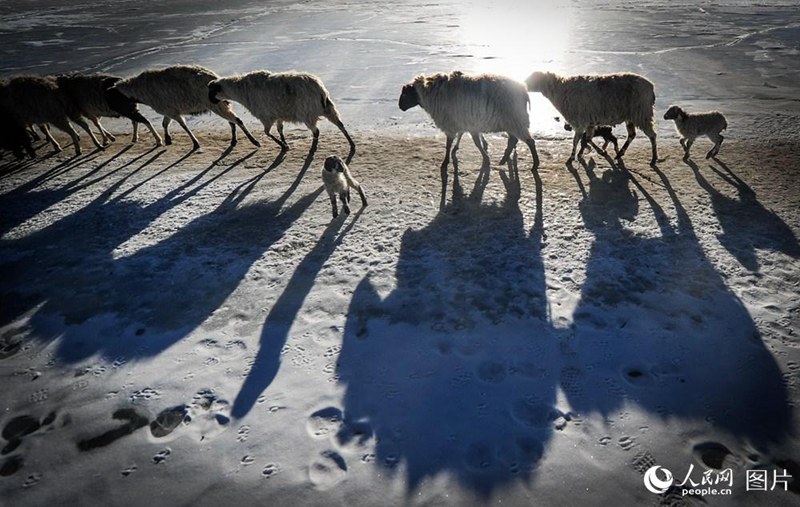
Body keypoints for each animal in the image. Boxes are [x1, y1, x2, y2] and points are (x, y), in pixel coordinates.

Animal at [108, 64, 260, 151]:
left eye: (115, 100)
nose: (117, 114)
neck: (140, 89)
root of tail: (214, 78)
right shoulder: (168, 110)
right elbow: (165, 123)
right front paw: (168, 139)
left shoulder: (171, 110)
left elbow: (183, 125)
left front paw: (195, 144)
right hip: (219, 104)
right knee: (232, 120)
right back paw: (234, 141)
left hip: (216, 105)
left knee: (236, 120)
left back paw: (254, 141)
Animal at [208, 70, 354, 163]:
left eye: (212, 91)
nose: (210, 102)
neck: (241, 90)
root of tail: (320, 90)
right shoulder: (278, 115)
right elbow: (279, 130)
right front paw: (285, 143)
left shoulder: (266, 117)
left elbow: (267, 132)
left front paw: (284, 146)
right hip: (327, 108)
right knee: (340, 124)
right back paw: (352, 145)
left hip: (308, 113)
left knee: (316, 131)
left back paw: (312, 149)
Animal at [398, 69, 540, 178]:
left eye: (404, 94)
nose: (400, 107)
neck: (430, 92)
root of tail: (524, 90)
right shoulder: (465, 122)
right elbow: (466, 138)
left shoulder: (452, 123)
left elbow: (452, 144)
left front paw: (445, 162)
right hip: (511, 122)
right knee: (513, 140)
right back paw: (503, 160)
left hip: (515, 120)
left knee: (529, 141)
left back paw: (534, 165)